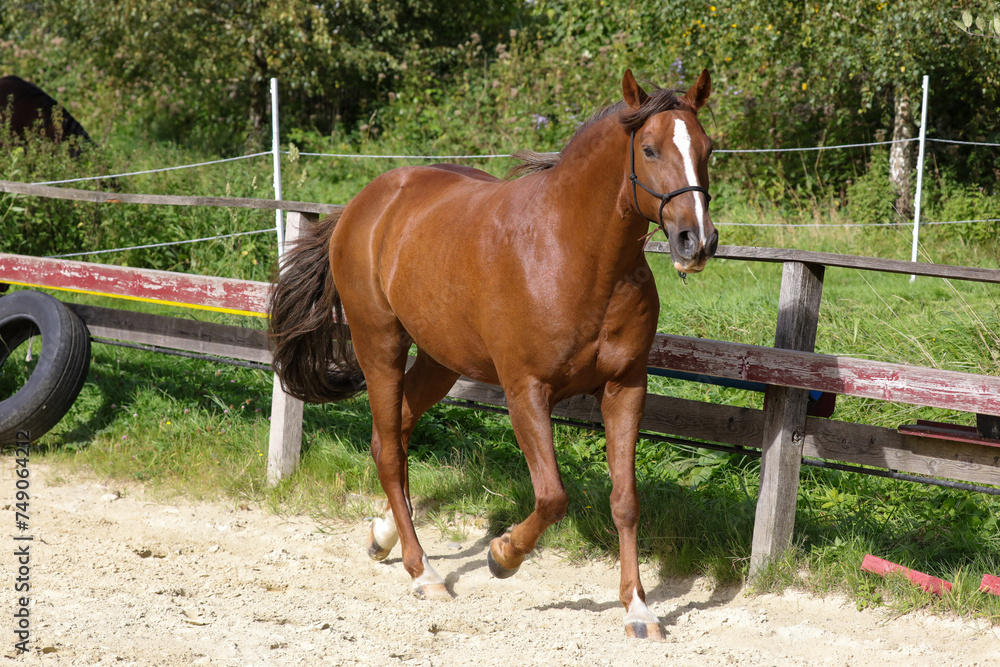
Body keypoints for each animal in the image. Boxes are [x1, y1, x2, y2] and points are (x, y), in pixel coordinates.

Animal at [269, 69, 717, 639]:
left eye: (707, 148)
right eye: (651, 149)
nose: (696, 241)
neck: (576, 255)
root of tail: (362, 205)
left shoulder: (625, 388)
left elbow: (625, 501)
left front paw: (638, 609)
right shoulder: (525, 390)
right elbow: (552, 496)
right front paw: (503, 556)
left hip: (440, 360)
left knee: (396, 431)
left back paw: (383, 536)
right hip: (380, 344)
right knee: (389, 450)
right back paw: (423, 572)